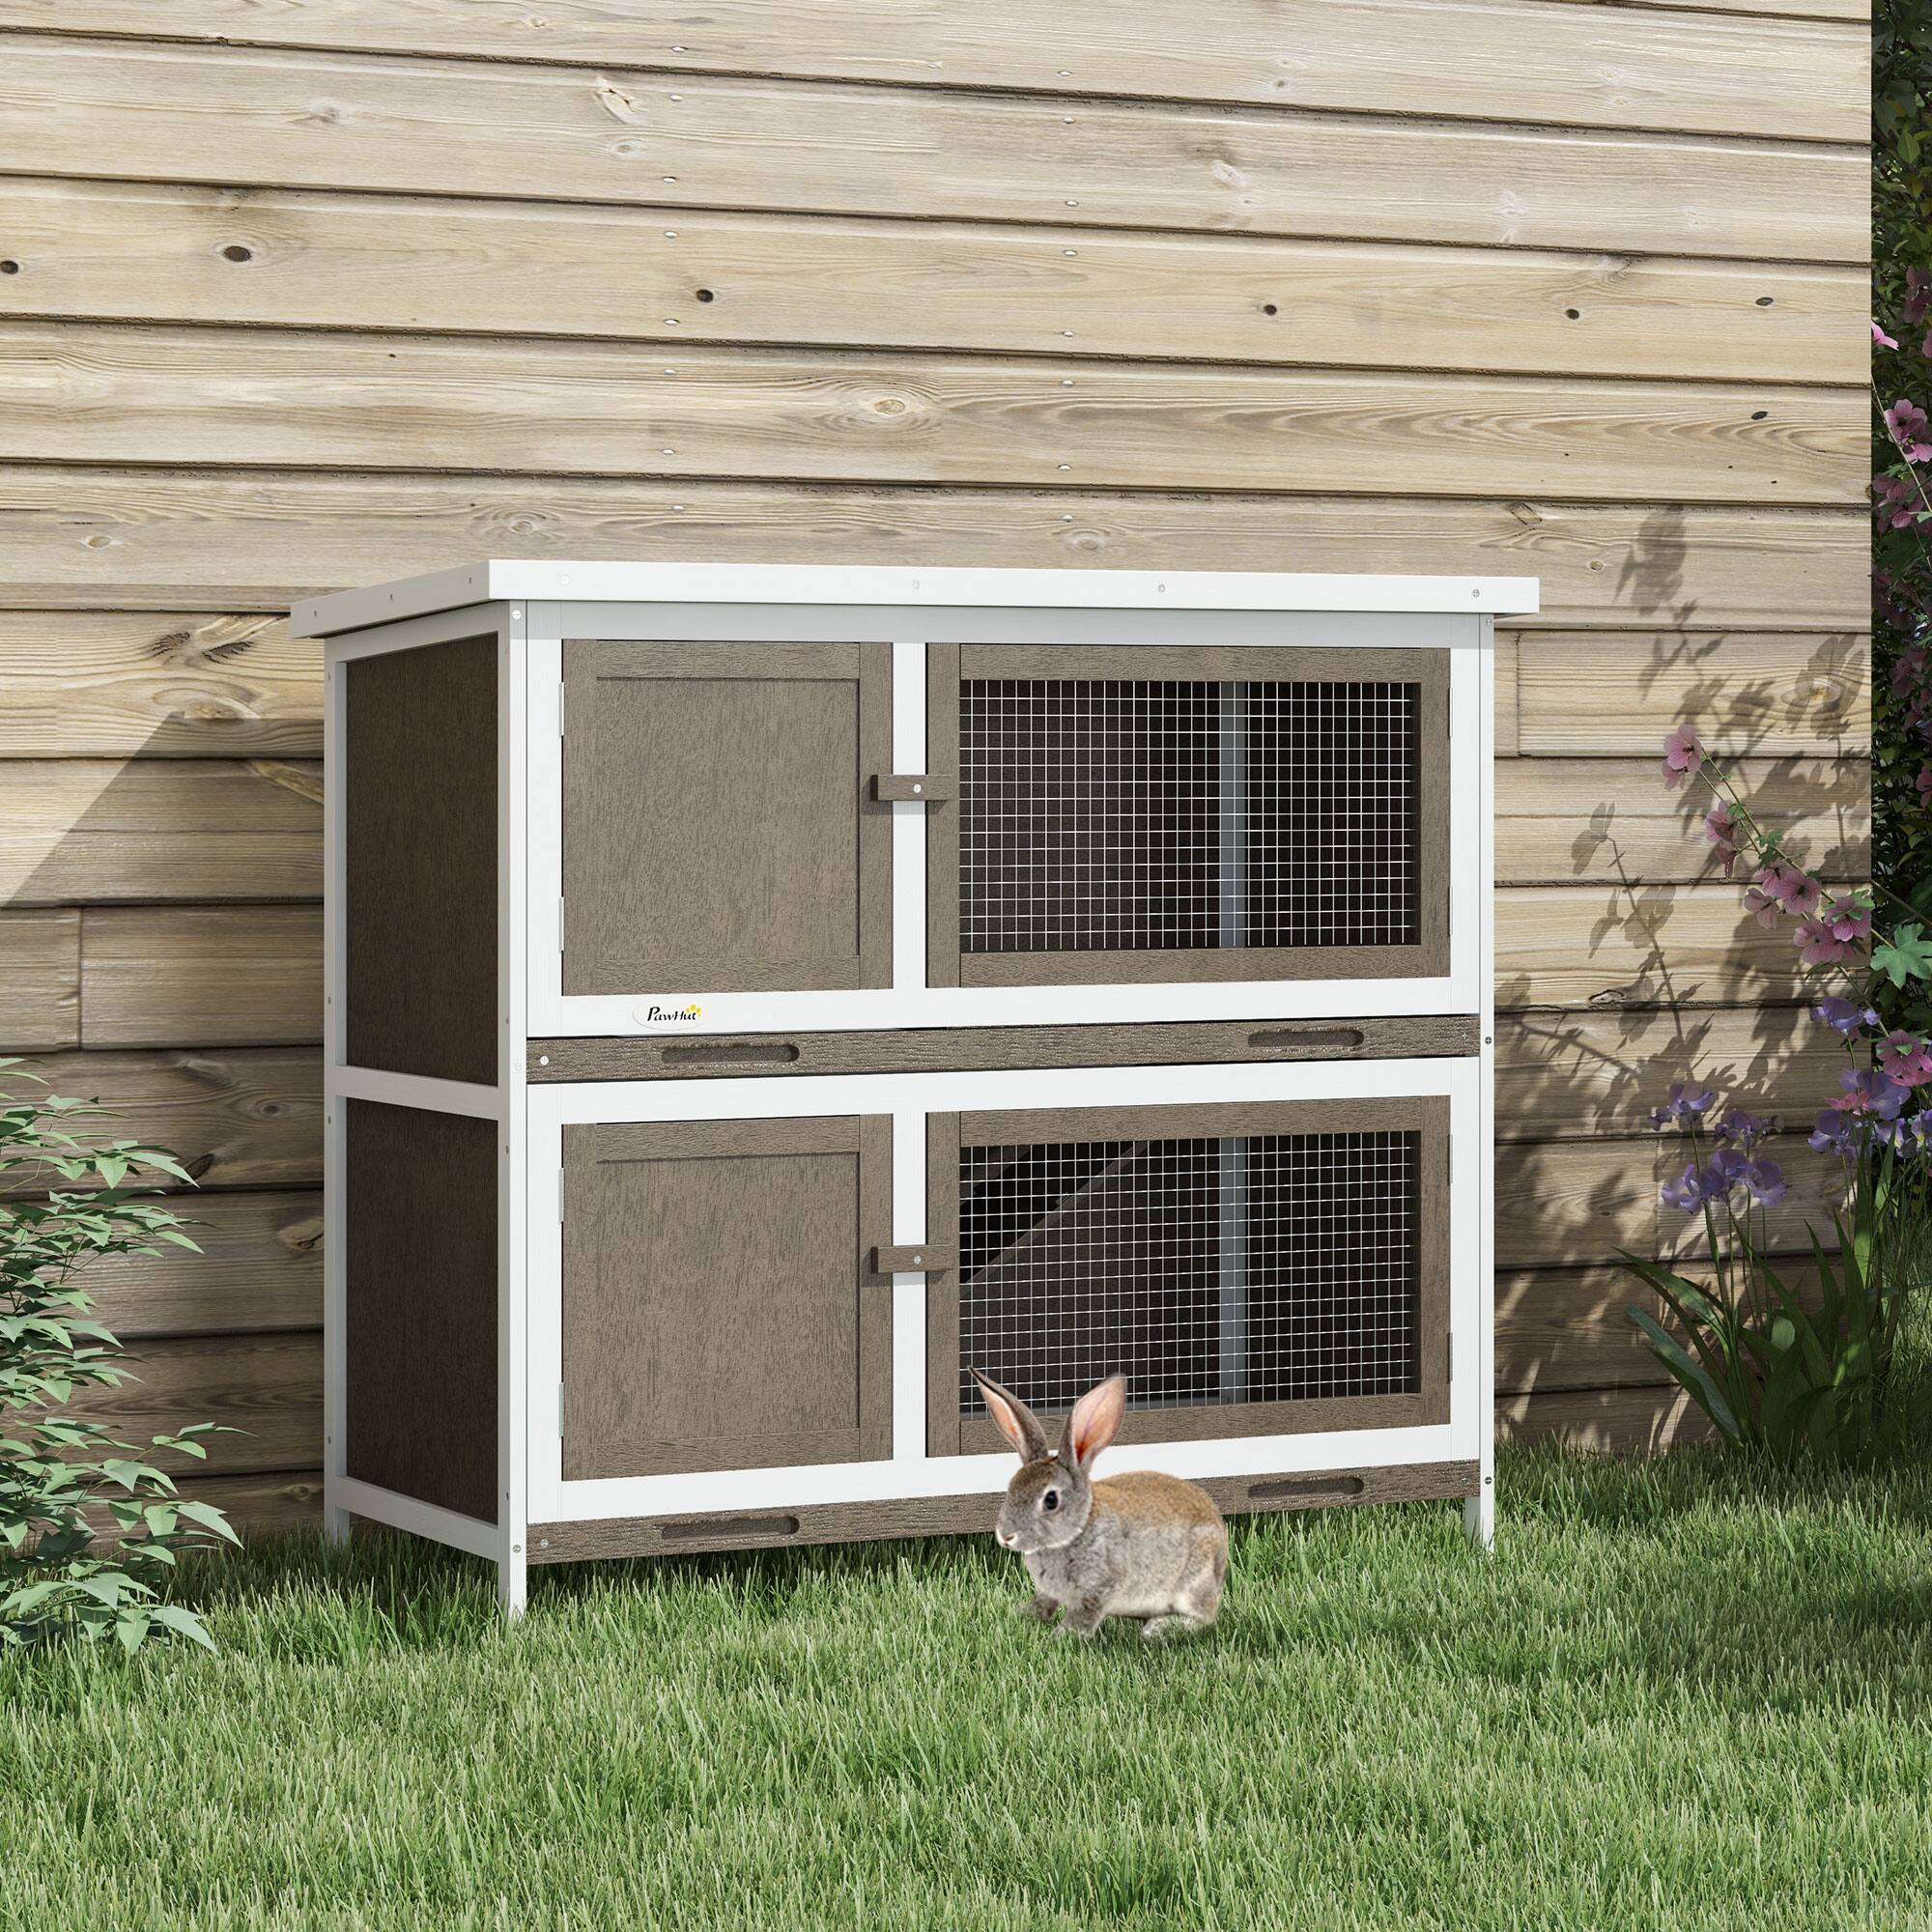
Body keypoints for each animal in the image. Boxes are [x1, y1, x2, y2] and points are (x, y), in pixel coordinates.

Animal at [971, 1368, 1227, 1641]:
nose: (1005, 1536)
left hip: (1194, 1582)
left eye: (1051, 1500)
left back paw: (1158, 1628)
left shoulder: (1101, 1587)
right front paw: (1024, 1614)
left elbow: (1084, 1614)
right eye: (1011, 1486)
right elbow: (1044, 1602)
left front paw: (1063, 1635)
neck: (1077, 1530)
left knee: (1205, 1618)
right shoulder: (1049, 1591)